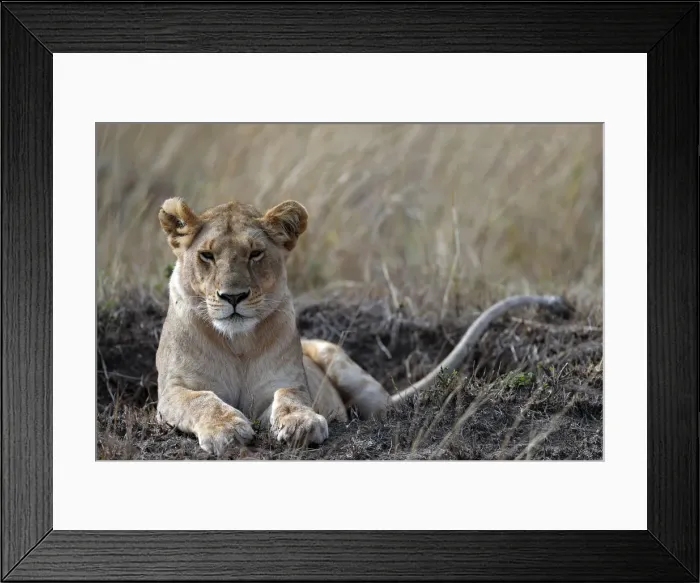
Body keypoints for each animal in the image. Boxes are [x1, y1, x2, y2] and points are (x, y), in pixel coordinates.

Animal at [155, 197, 570, 455]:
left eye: (256, 254)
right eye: (207, 256)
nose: (233, 297)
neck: (237, 343)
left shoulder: (286, 380)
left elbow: (290, 398)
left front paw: (301, 424)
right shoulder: (170, 394)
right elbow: (201, 400)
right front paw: (227, 430)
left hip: (345, 368)